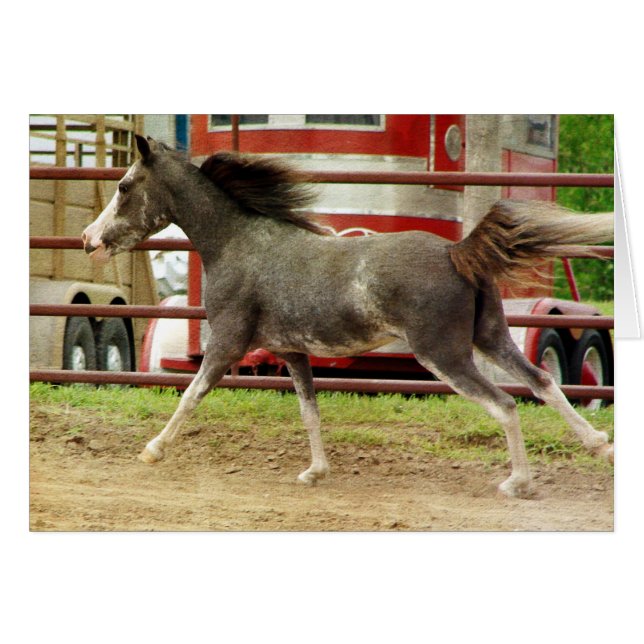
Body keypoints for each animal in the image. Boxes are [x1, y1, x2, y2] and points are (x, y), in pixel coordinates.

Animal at [82, 135, 614, 498]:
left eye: (124, 186)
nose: (89, 240)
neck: (238, 245)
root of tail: (457, 252)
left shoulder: (227, 343)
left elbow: (190, 396)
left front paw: (152, 450)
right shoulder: (293, 352)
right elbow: (309, 411)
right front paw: (315, 472)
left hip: (444, 354)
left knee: (504, 404)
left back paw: (518, 483)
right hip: (491, 337)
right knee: (542, 383)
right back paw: (599, 444)